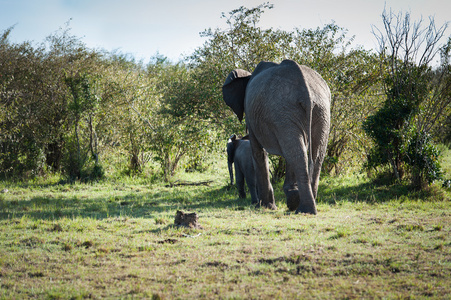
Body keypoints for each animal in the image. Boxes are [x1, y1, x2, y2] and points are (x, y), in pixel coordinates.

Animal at [223, 59, 332, 214]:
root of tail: (306, 90)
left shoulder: (251, 115)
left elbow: (258, 152)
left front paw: (264, 206)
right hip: (320, 111)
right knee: (314, 154)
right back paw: (302, 205)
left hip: (284, 110)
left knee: (296, 153)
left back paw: (301, 208)